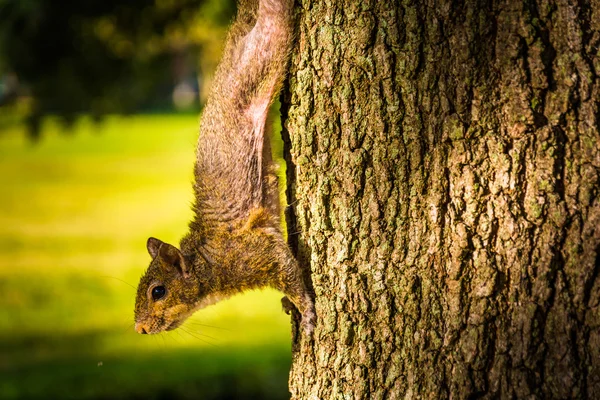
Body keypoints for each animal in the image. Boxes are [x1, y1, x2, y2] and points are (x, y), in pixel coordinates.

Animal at [134, 0, 316, 338]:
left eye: (158, 291)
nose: (139, 328)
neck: (208, 259)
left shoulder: (257, 252)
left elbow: (290, 274)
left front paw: (306, 313)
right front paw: (289, 305)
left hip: (269, 47)